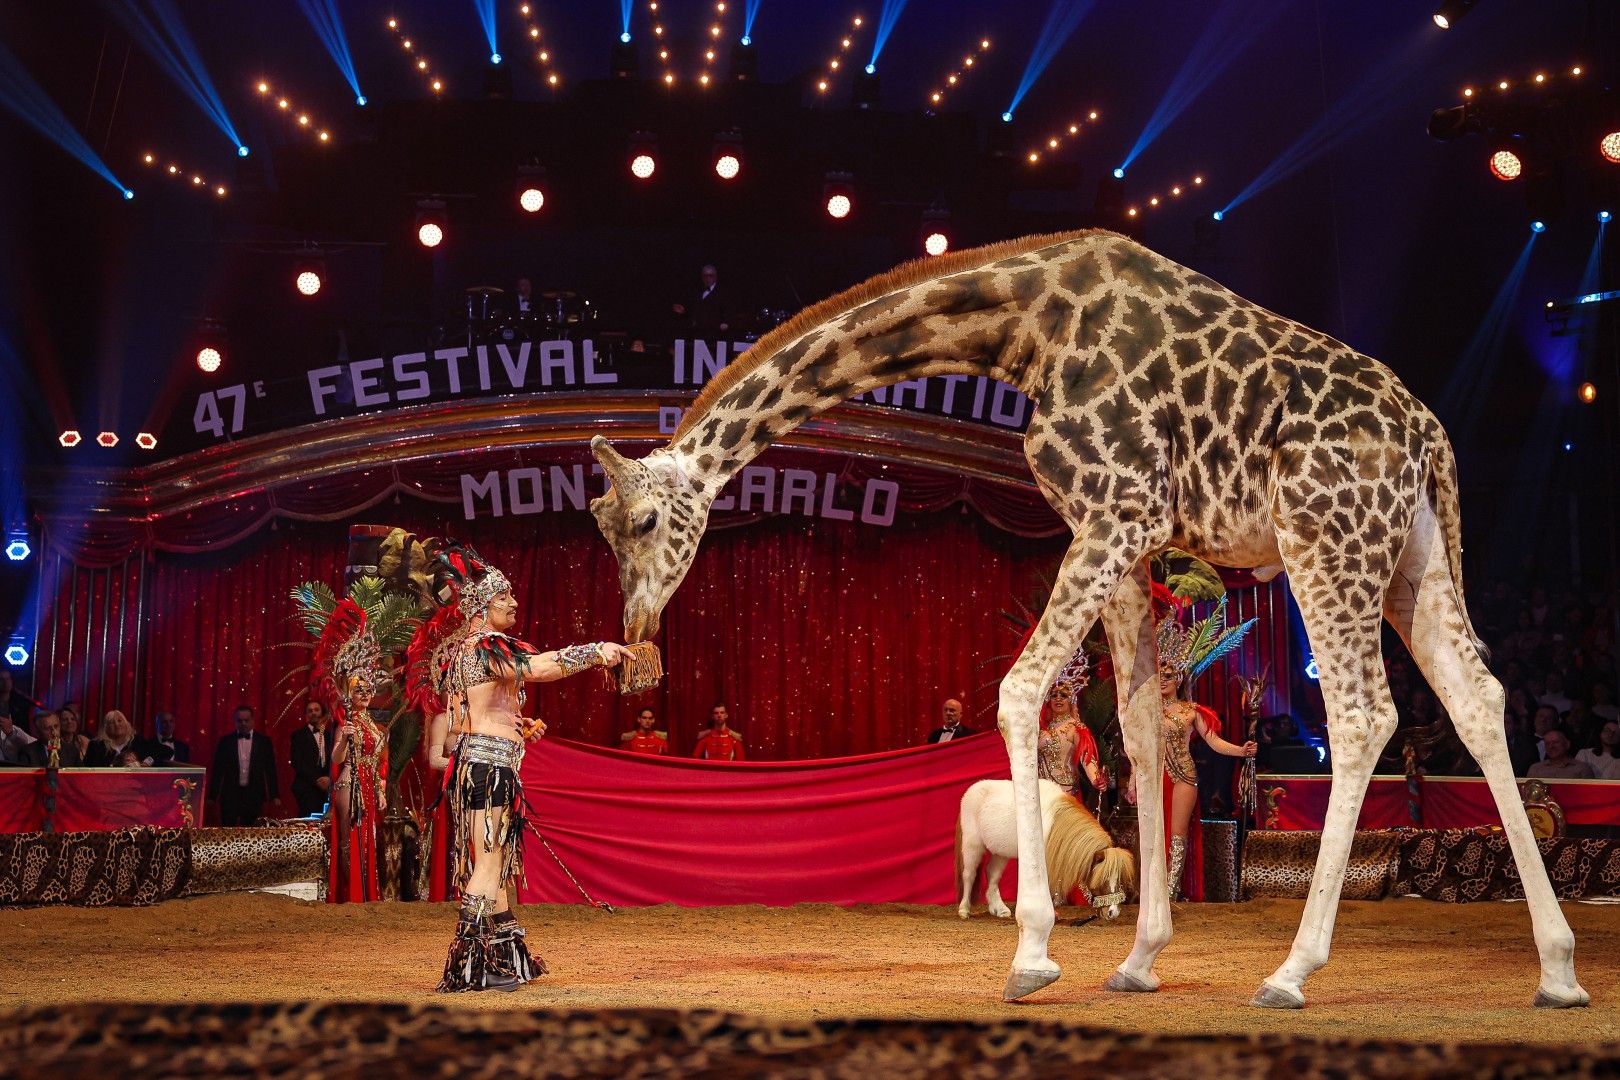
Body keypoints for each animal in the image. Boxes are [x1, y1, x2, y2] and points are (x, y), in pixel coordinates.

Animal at [586, 229, 1588, 1009]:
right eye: (599, 527)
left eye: (642, 523)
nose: (636, 629)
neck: (1021, 327)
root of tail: (1432, 438)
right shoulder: (1123, 535)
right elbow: (1139, 729)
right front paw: (1140, 958)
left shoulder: (1117, 511)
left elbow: (1021, 690)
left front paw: (1032, 951)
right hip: (1410, 556)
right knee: (1477, 696)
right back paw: (1559, 970)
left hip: (1324, 544)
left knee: (1363, 713)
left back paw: (1291, 971)